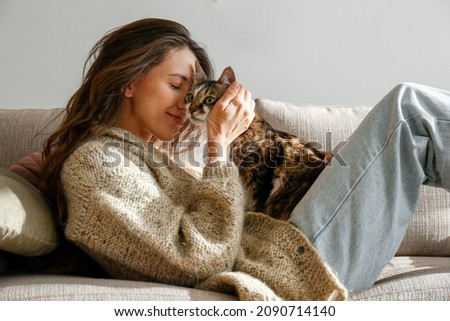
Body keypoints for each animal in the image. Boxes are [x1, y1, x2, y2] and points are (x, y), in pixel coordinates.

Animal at [185, 66, 326, 219]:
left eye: (209, 99)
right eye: (190, 97)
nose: (191, 109)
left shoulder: (263, 168)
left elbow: (257, 200)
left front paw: (252, 214)